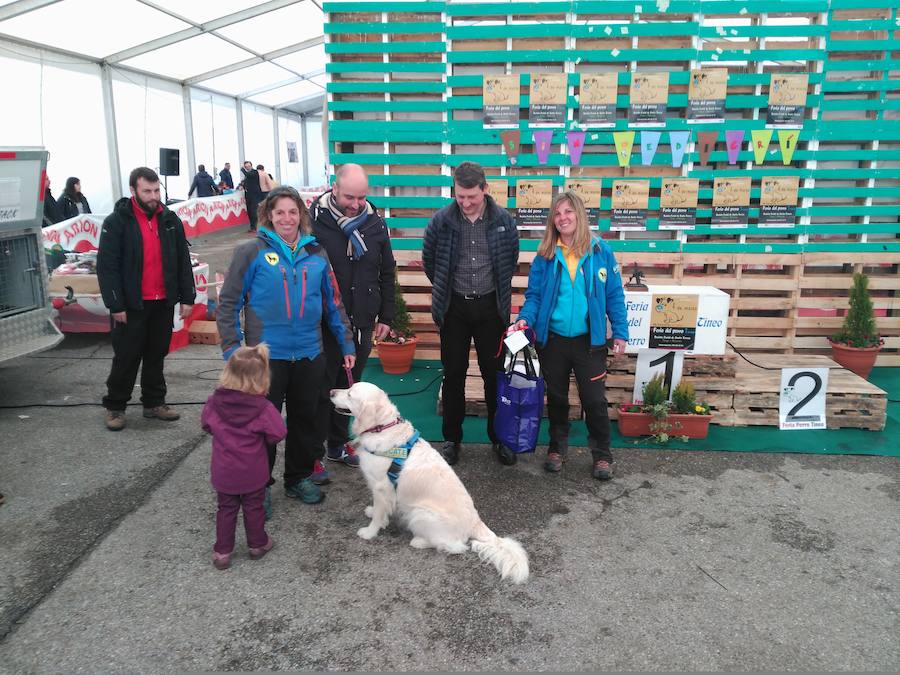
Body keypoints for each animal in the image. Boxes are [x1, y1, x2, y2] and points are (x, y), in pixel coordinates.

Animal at [328, 382, 528, 584]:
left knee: (455, 546)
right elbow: (379, 510)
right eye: (348, 388)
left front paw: (369, 532)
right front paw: (373, 513)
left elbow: (378, 514)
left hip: (420, 513)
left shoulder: (381, 487)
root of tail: (475, 521)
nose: (331, 392)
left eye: (350, 394)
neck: (382, 427)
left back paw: (419, 541)